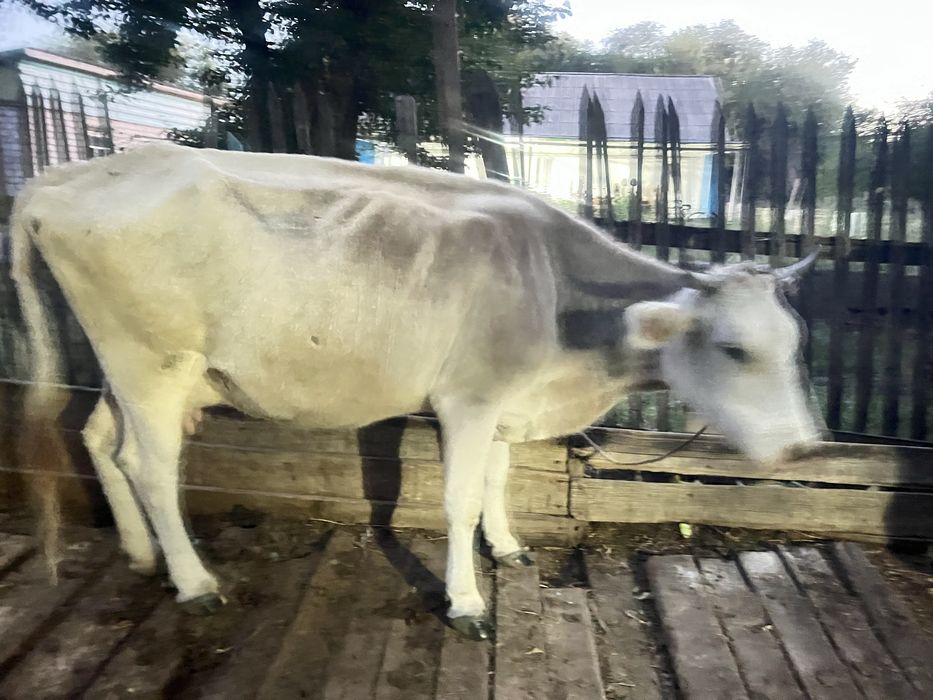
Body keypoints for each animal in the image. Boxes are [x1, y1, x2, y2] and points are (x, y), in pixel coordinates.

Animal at [11, 143, 822, 640]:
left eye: (794, 344)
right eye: (733, 349)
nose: (801, 448)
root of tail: (70, 175)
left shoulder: (503, 404)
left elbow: (497, 481)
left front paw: (509, 548)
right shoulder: (469, 398)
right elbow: (458, 500)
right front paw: (466, 601)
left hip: (131, 369)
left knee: (99, 440)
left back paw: (141, 554)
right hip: (151, 362)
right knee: (150, 467)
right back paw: (193, 580)